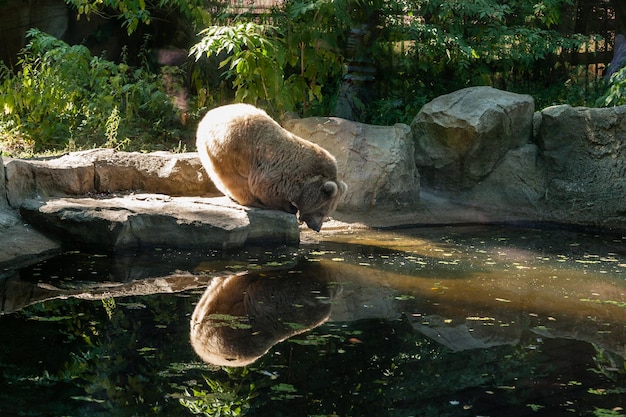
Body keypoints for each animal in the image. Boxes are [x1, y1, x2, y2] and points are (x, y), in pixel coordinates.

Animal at [195, 102, 346, 229]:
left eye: (326, 213)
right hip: (230, 148)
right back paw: (252, 201)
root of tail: (209, 115)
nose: (317, 227)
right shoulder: (280, 174)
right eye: (322, 211)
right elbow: (267, 190)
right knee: (233, 179)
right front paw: (290, 207)